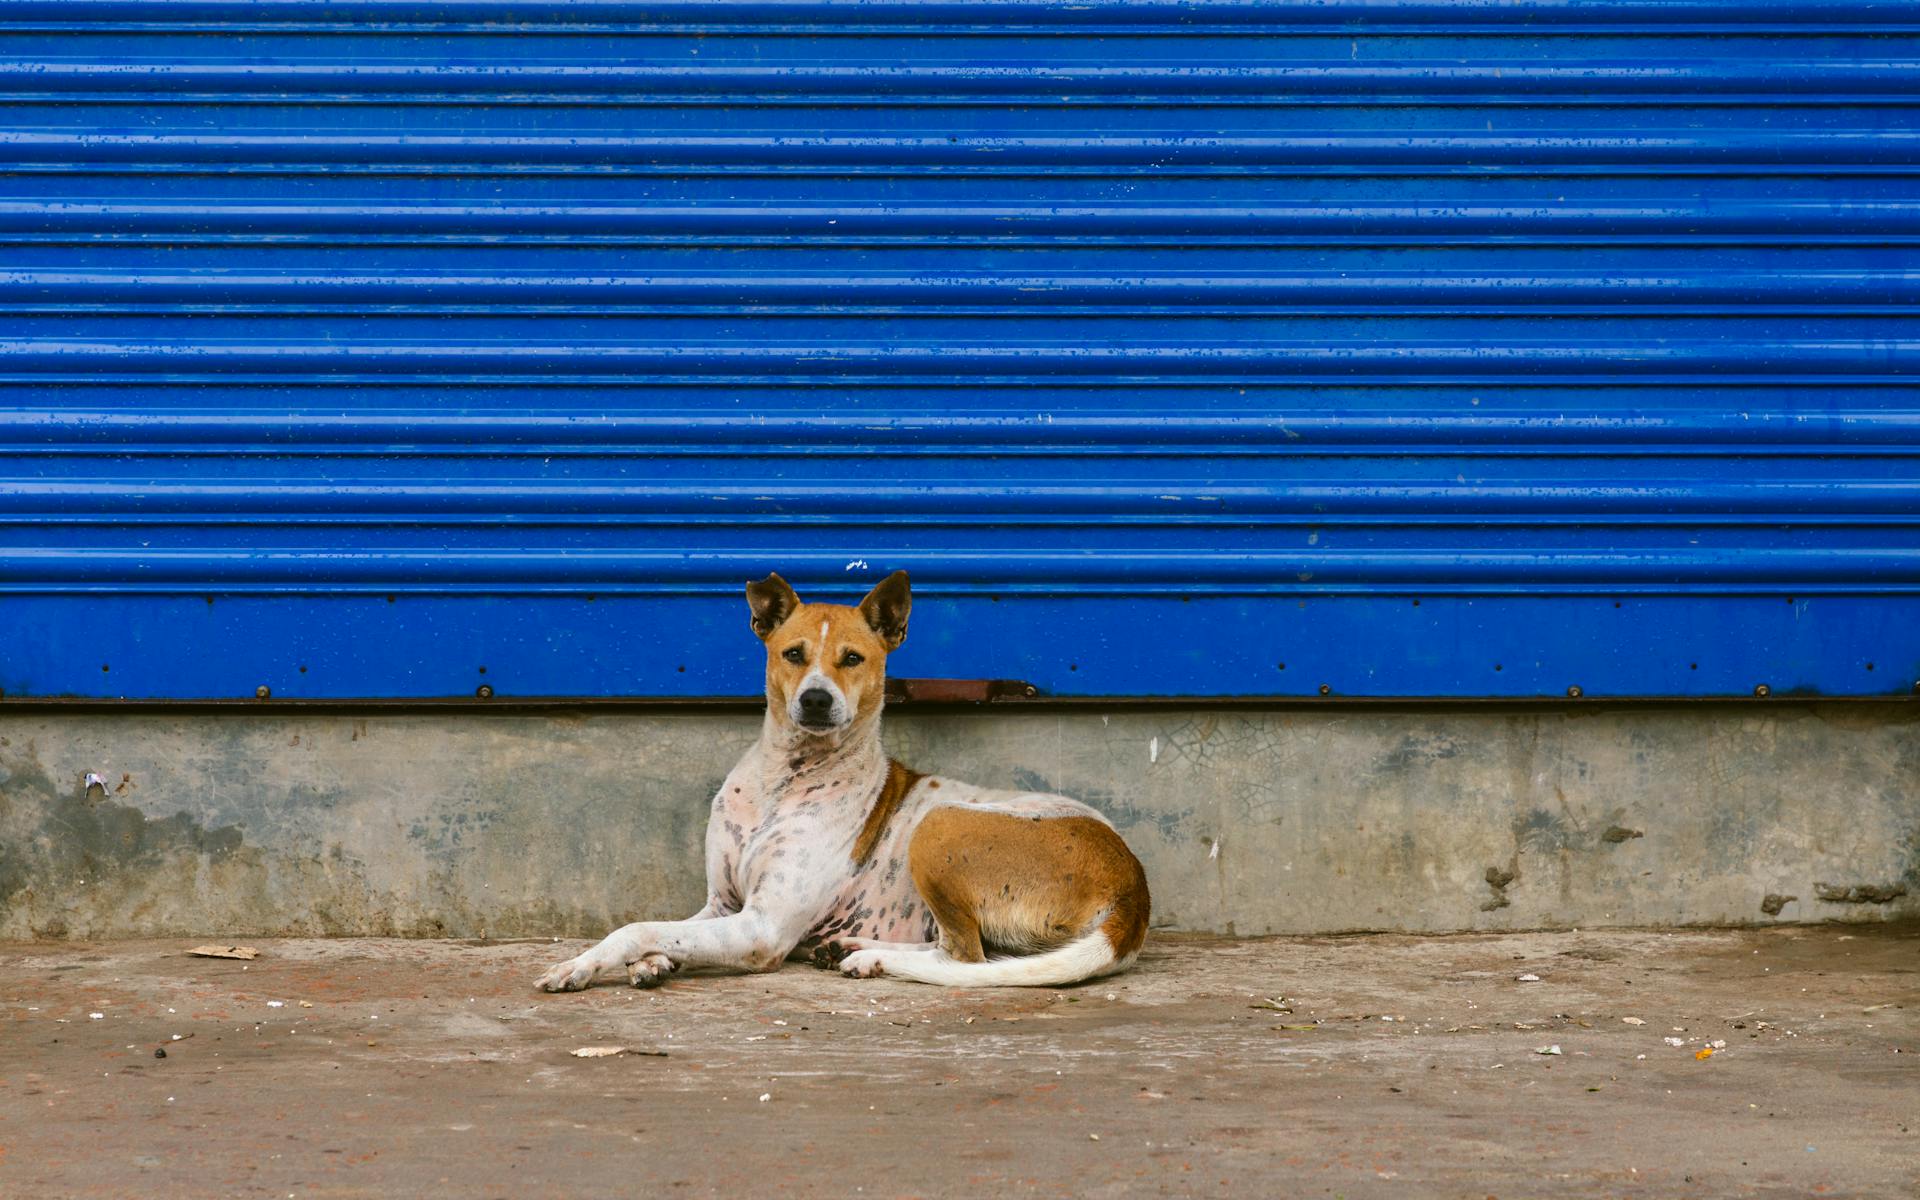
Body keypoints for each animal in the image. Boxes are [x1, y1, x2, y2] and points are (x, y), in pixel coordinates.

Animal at [533, 572, 1144, 990]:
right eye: (793, 654)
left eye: (852, 658)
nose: (816, 699)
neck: (783, 778)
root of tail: (1133, 889)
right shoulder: (721, 907)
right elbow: (668, 929)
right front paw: (654, 962)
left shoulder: (759, 929)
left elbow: (635, 927)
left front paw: (583, 964)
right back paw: (844, 946)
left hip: (939, 827)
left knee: (966, 957)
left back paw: (869, 957)